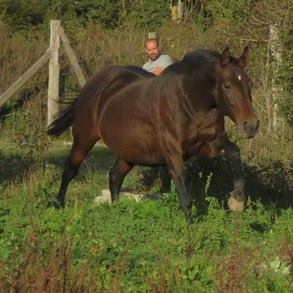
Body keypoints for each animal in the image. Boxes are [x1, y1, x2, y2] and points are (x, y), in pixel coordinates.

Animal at [48, 47, 258, 221]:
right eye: (227, 85)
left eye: (249, 83)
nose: (252, 125)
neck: (190, 102)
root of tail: (94, 84)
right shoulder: (173, 153)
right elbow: (184, 193)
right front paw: (190, 232)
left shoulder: (210, 145)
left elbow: (235, 151)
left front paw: (237, 200)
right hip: (84, 137)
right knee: (70, 170)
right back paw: (58, 205)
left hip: (130, 150)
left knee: (115, 176)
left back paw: (116, 212)